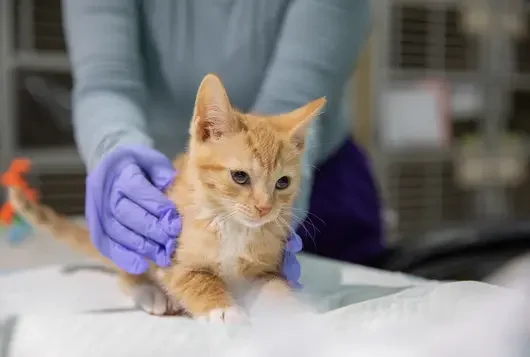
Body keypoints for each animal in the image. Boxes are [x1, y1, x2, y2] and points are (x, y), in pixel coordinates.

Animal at [8, 73, 324, 322]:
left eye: (283, 183)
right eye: (240, 177)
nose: (264, 207)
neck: (231, 225)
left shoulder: (264, 268)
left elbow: (276, 288)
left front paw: (297, 317)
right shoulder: (173, 258)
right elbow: (198, 280)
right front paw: (224, 311)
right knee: (128, 273)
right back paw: (150, 293)